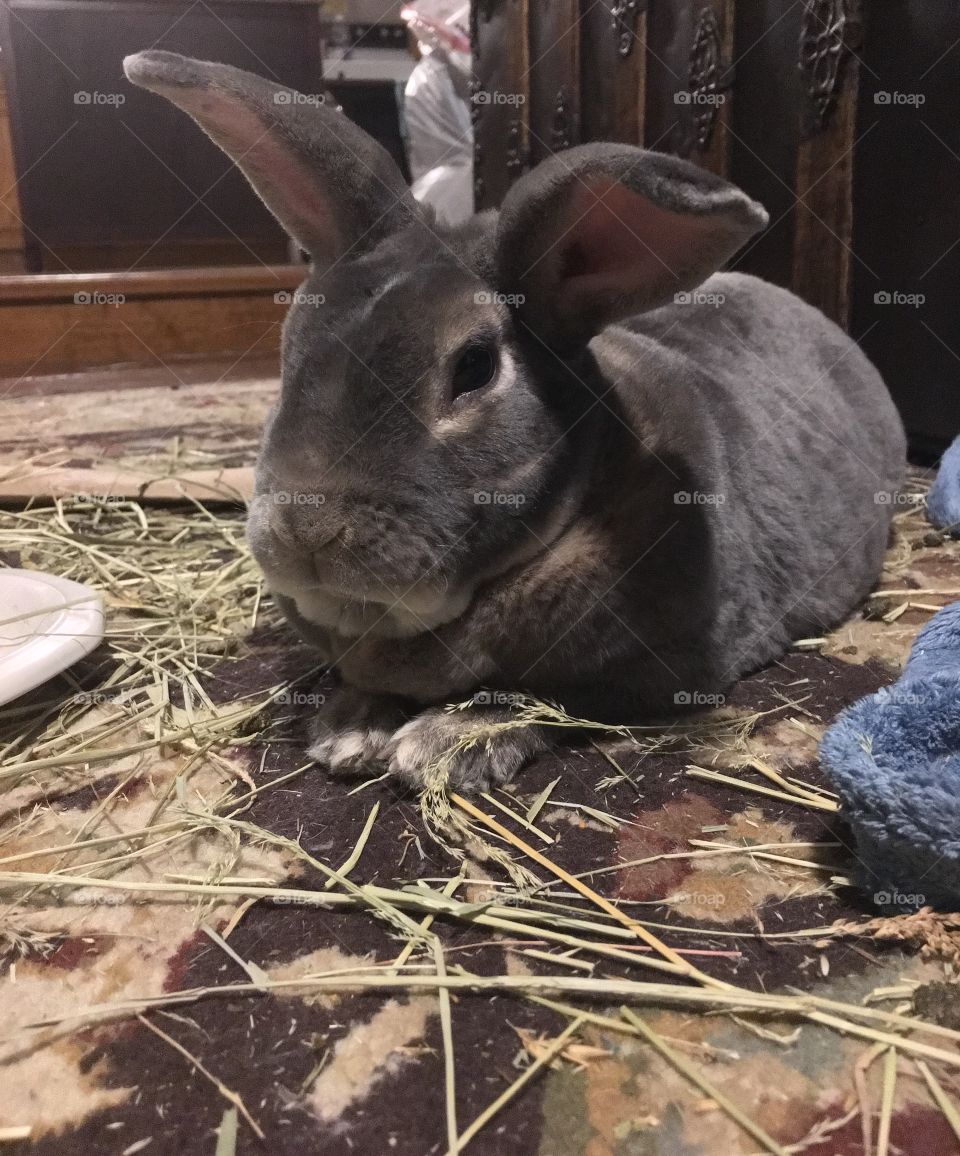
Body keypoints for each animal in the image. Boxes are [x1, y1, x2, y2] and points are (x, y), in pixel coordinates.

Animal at [123, 51, 907, 791]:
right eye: (291, 348)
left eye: (474, 367)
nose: (305, 533)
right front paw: (348, 726)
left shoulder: (659, 671)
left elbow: (547, 698)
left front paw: (443, 741)